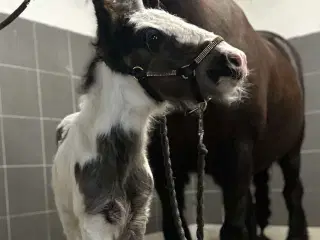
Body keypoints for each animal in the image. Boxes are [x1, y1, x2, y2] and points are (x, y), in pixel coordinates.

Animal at [145, 0, 308, 240]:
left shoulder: (237, 149)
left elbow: (233, 227)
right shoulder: (163, 162)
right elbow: (175, 226)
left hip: (291, 150)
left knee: (293, 192)